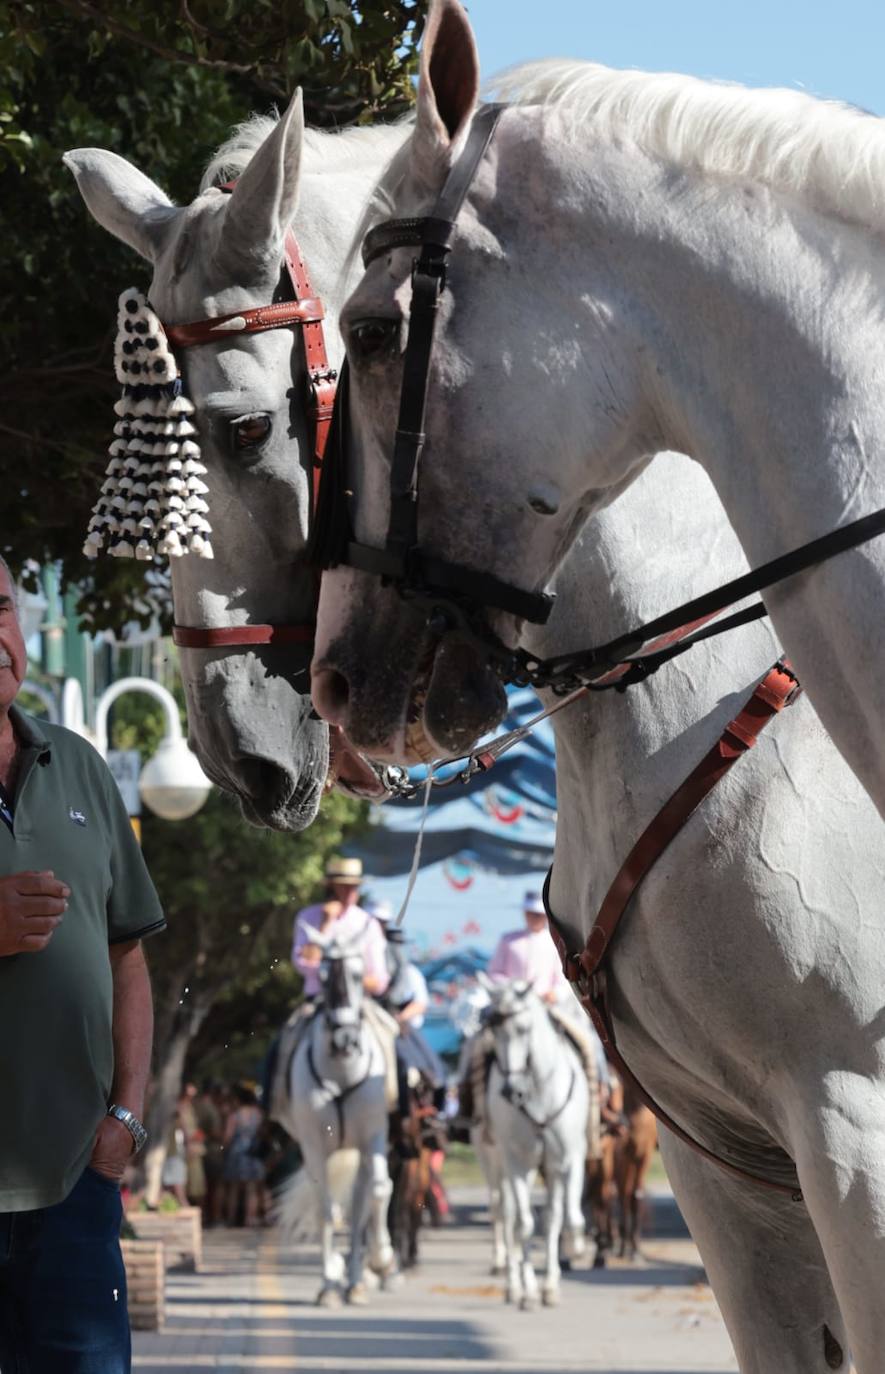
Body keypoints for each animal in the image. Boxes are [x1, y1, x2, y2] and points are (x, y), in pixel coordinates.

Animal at [280, 928, 393, 1302]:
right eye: (324, 975)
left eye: (358, 975)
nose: (344, 1039)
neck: (342, 1070)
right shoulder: (314, 1144)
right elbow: (326, 1211)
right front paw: (329, 1283)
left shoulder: (374, 1136)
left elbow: (380, 1190)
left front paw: (382, 1260)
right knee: (330, 1206)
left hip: (358, 1150)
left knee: (360, 1207)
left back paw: (358, 1280)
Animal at [480, 978, 585, 1308]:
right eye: (493, 1029)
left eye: (524, 1029)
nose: (512, 1092)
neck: (538, 1092)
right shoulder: (517, 1162)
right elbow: (524, 1225)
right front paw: (526, 1289)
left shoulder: (566, 1159)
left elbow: (564, 1218)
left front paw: (563, 1266)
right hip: (497, 1162)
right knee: (509, 1216)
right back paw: (517, 1285)